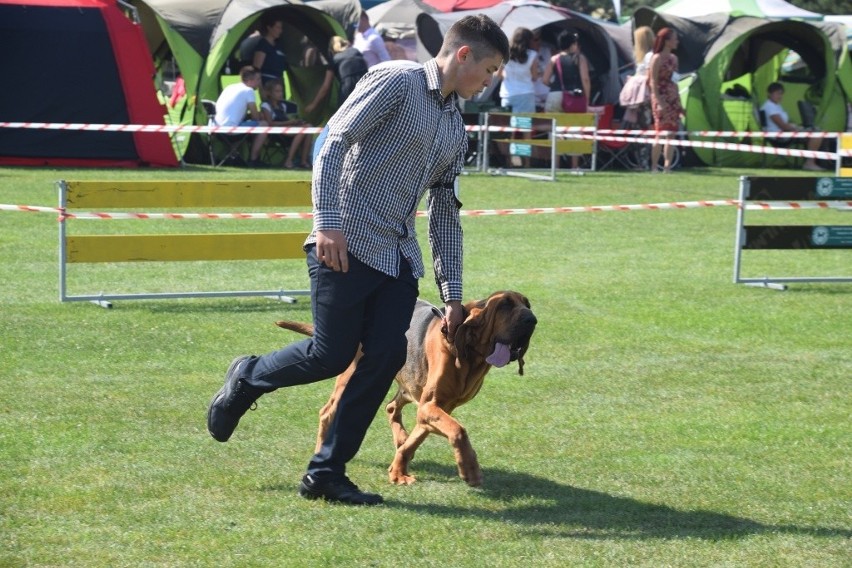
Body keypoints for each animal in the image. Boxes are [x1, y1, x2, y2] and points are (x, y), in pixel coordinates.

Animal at [276, 290, 536, 486]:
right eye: (504, 305)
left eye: (527, 304)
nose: (532, 320)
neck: (470, 356)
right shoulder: (431, 407)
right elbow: (459, 431)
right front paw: (469, 469)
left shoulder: (435, 408)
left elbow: (418, 438)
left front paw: (398, 469)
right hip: (351, 377)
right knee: (327, 412)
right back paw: (321, 451)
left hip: (406, 385)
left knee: (391, 407)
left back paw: (399, 437)